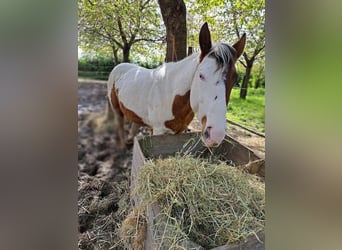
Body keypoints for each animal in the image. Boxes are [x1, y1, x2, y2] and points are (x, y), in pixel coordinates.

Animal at [108, 22, 244, 148]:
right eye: (201, 75)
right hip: (116, 109)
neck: (171, 97)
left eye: (235, 79)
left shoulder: (180, 130)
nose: (216, 135)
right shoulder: (158, 131)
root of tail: (119, 67)